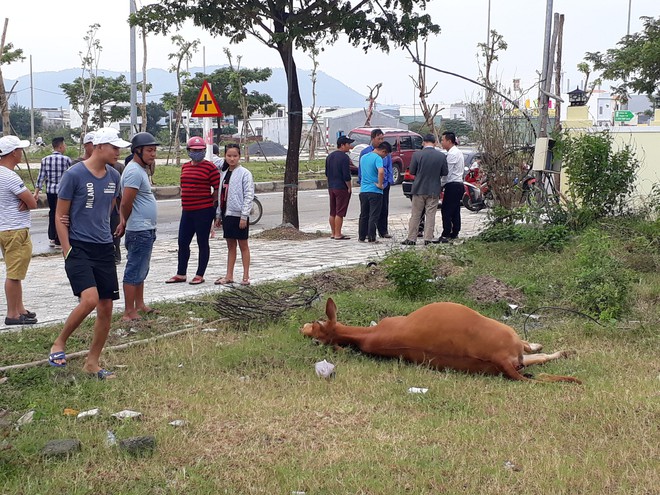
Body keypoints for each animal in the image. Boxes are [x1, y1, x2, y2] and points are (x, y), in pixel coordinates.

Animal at [302, 298, 580, 384]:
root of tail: (500, 358)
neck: (364, 336)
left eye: (315, 327)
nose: (302, 329)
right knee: (532, 352)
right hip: (509, 335)